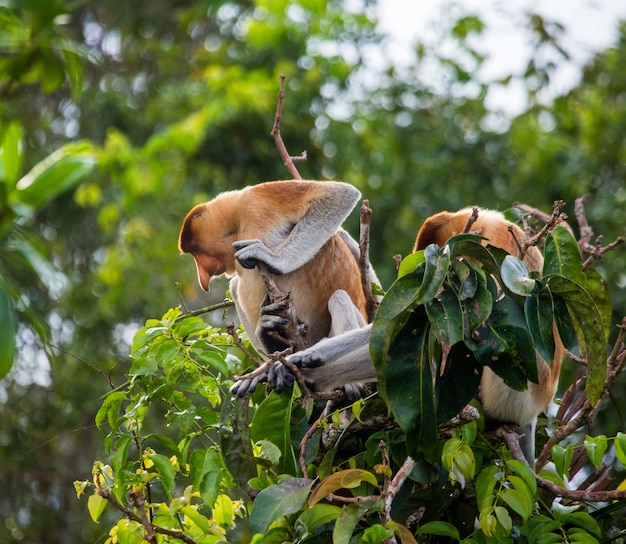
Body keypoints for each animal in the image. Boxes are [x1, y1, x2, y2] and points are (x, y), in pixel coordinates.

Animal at [178, 181, 378, 394]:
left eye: (196, 253)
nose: (202, 277)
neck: (237, 224)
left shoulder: (256, 202)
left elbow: (340, 194)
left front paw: (272, 260)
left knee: (339, 298)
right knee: (234, 285)